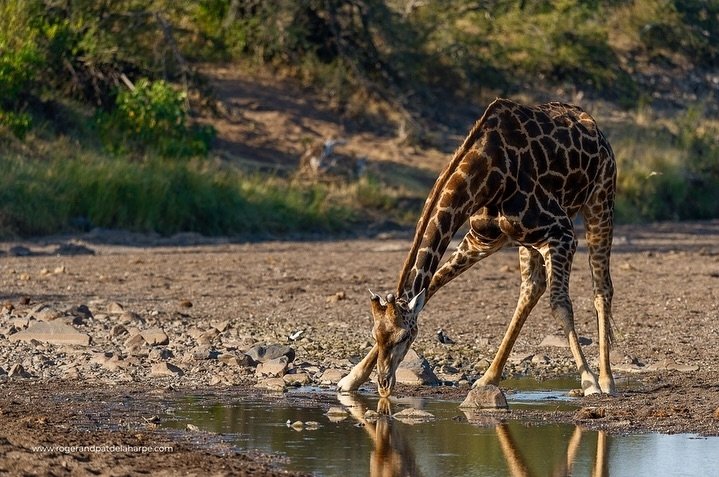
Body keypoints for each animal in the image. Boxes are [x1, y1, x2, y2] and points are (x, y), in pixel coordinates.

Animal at [338, 98, 620, 400]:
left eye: (405, 337)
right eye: (374, 335)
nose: (383, 384)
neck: (487, 175)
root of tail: (594, 126)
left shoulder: (561, 232)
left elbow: (561, 305)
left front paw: (589, 382)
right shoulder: (481, 239)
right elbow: (433, 284)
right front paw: (351, 378)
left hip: (600, 201)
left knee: (601, 288)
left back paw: (606, 380)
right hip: (526, 242)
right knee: (531, 288)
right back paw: (488, 377)